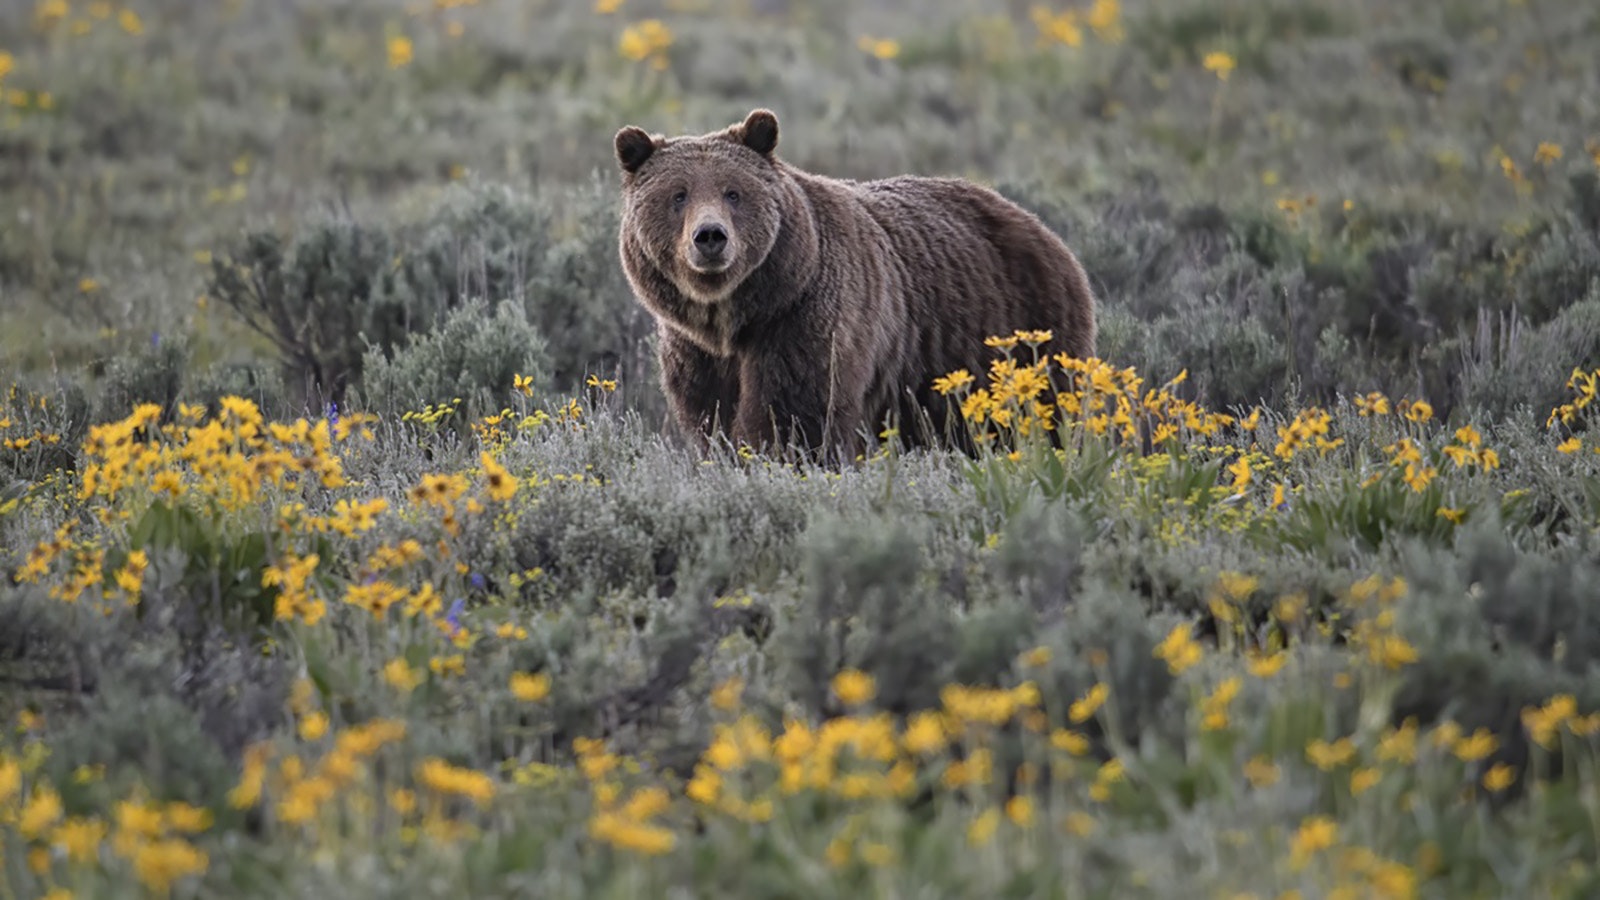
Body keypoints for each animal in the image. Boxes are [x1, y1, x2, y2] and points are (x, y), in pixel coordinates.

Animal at [611, 110, 1100, 461]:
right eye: (678, 195)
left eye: (733, 192)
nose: (710, 236)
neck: (735, 317)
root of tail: (1043, 229)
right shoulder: (696, 351)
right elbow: (711, 417)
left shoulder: (805, 319)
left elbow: (795, 412)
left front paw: (778, 456)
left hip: (1023, 332)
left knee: (1042, 411)